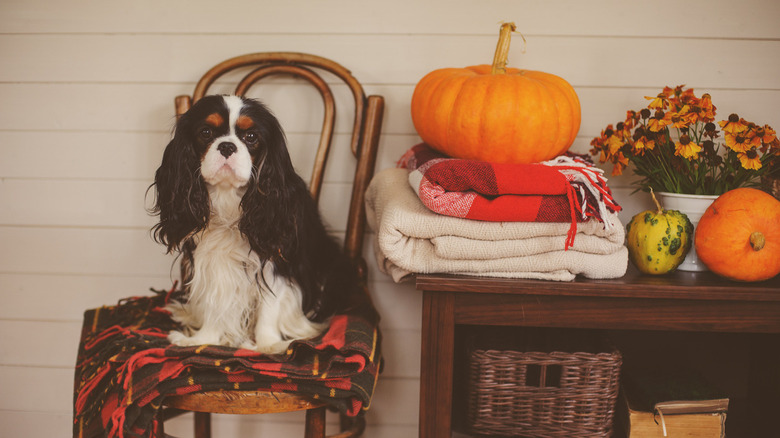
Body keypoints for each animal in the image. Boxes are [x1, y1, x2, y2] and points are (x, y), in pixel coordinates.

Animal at [152, 94, 374, 354]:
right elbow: (215, 302)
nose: (227, 146)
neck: (229, 200)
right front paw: (203, 339)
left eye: (251, 137)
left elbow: (270, 307)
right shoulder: (212, 262)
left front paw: (268, 345)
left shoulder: (275, 262)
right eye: (205, 132)